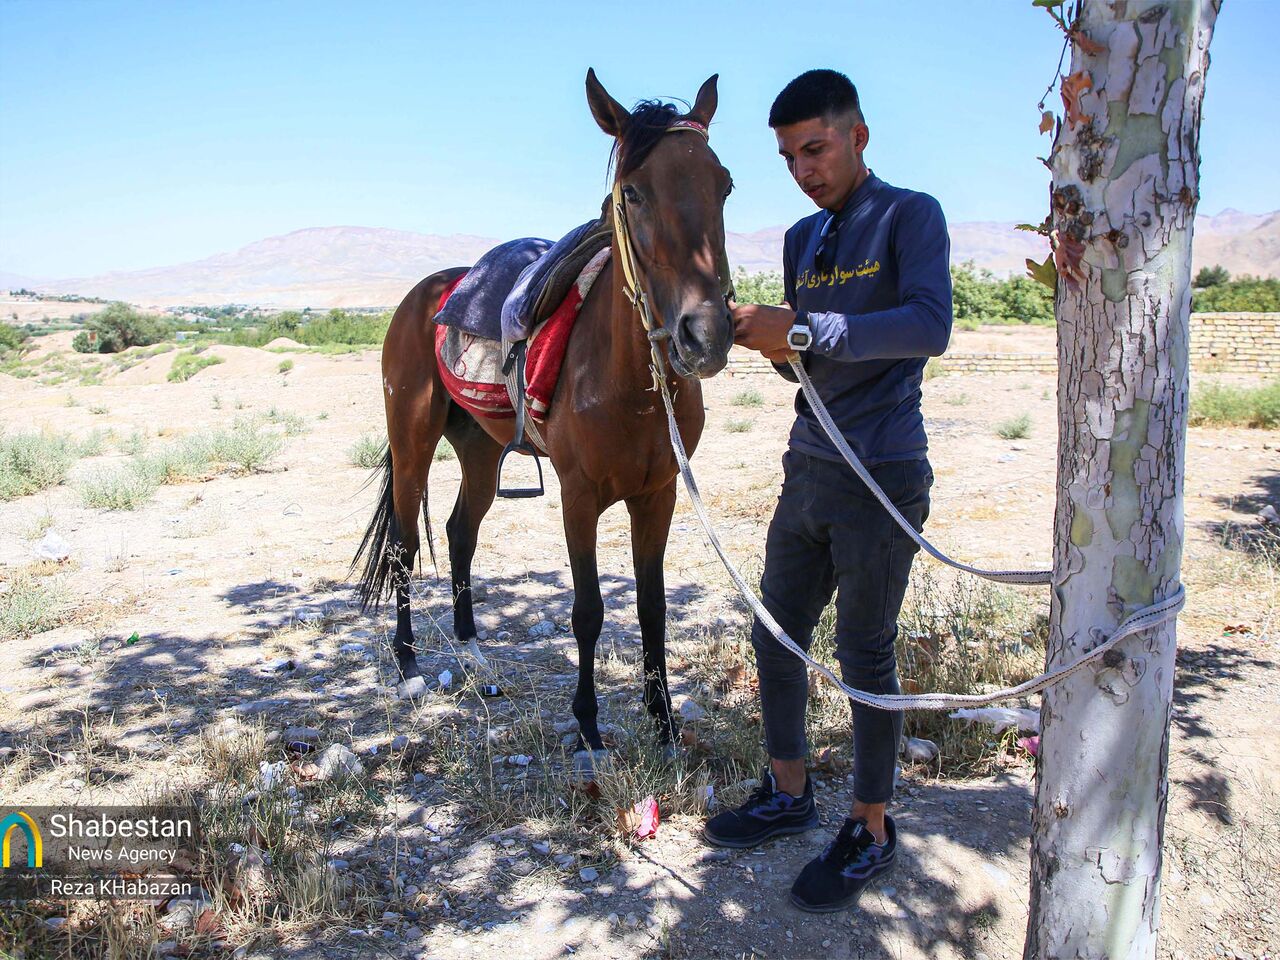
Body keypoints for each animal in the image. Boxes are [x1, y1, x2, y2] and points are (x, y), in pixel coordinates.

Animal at [352, 69, 735, 754]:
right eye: (632, 193)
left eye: (724, 185)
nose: (705, 335)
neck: (629, 382)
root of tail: (426, 293)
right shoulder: (578, 496)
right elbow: (588, 610)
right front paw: (587, 723)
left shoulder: (659, 493)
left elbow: (653, 605)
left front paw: (662, 719)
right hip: (413, 442)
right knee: (403, 543)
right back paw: (408, 664)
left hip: (478, 450)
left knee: (460, 531)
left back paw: (474, 654)